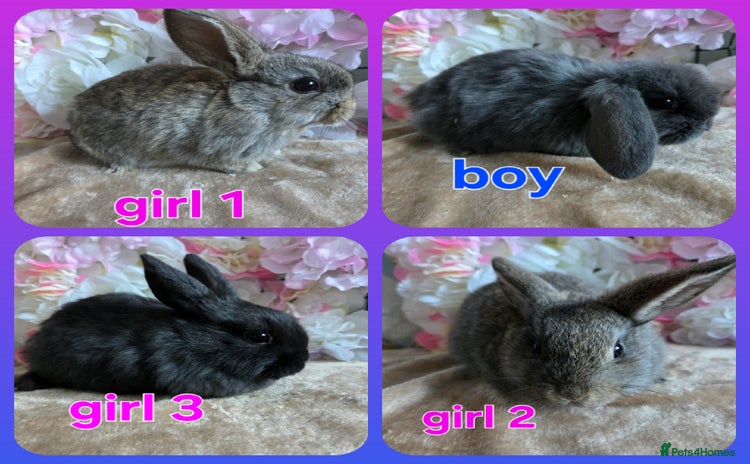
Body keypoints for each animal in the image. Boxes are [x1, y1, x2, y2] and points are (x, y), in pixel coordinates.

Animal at [68, 9, 356, 173]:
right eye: (306, 85)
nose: (351, 106)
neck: (253, 103)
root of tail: (74, 111)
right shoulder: (218, 146)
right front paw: (251, 167)